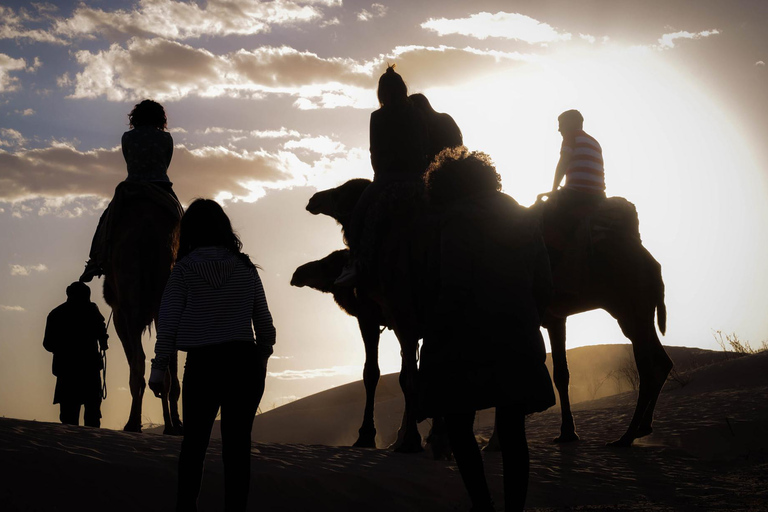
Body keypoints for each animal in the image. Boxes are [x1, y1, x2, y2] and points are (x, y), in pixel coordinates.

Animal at [102, 183, 183, 432]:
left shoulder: (120, 314)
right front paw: (175, 423)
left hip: (130, 301)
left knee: (138, 362)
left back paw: (132, 423)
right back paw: (170, 426)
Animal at [306, 179, 672, 448]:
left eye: (345, 192)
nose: (314, 199)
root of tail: (651, 262)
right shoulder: (553, 318)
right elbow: (559, 373)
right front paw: (566, 434)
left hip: (628, 306)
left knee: (647, 364)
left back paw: (626, 437)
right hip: (637, 310)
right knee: (660, 361)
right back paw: (640, 430)